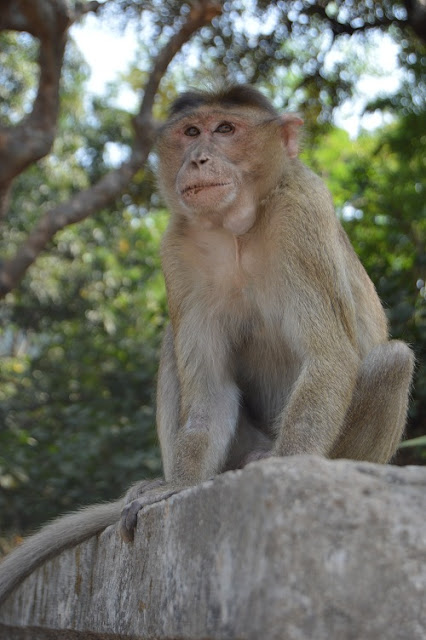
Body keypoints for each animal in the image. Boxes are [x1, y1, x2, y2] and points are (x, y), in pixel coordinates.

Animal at [0, 84, 414, 604]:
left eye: (226, 129)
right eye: (191, 131)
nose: (198, 158)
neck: (236, 228)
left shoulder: (303, 211)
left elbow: (329, 356)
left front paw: (284, 469)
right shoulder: (176, 248)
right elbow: (211, 391)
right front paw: (177, 485)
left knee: (393, 359)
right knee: (172, 344)